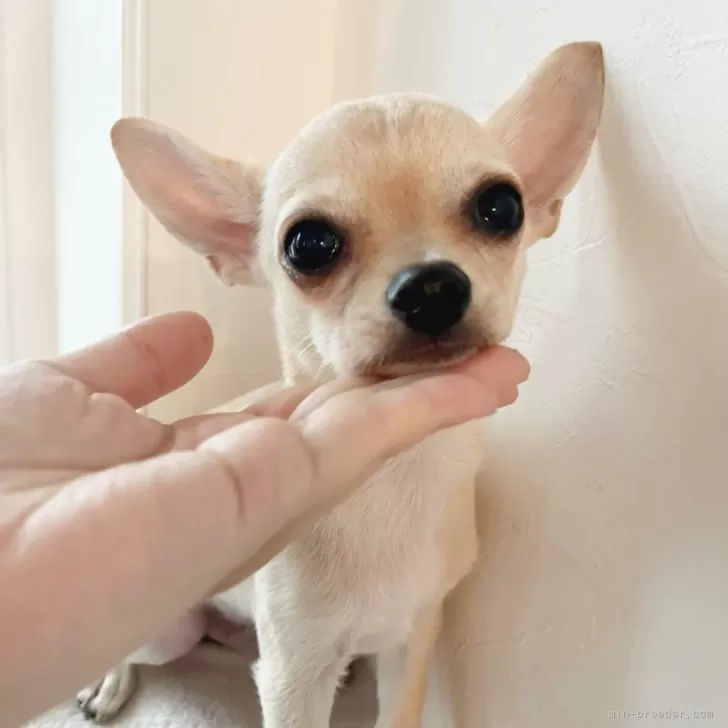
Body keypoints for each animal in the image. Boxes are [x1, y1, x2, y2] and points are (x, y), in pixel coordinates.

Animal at [77, 41, 604, 728]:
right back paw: (108, 681)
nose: (431, 285)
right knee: (128, 648)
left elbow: (401, 710)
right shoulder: (294, 678)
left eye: (502, 208)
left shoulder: (414, 640)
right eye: (309, 245)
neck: (399, 476)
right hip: (167, 635)